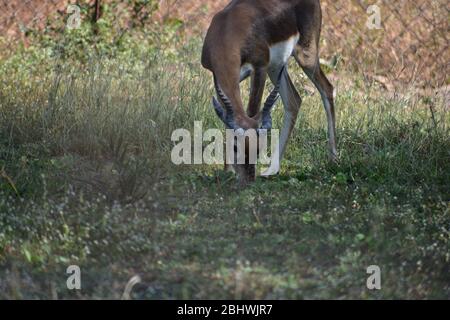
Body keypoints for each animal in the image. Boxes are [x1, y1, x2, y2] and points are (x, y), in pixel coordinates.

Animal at [202, 0, 336, 185]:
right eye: (236, 146)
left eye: (259, 147)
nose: (248, 179)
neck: (227, 30)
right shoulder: (223, 78)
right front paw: (227, 171)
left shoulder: (260, 68)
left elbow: (252, 110)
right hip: (277, 67)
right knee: (294, 101)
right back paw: (272, 169)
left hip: (305, 56)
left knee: (327, 89)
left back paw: (333, 159)